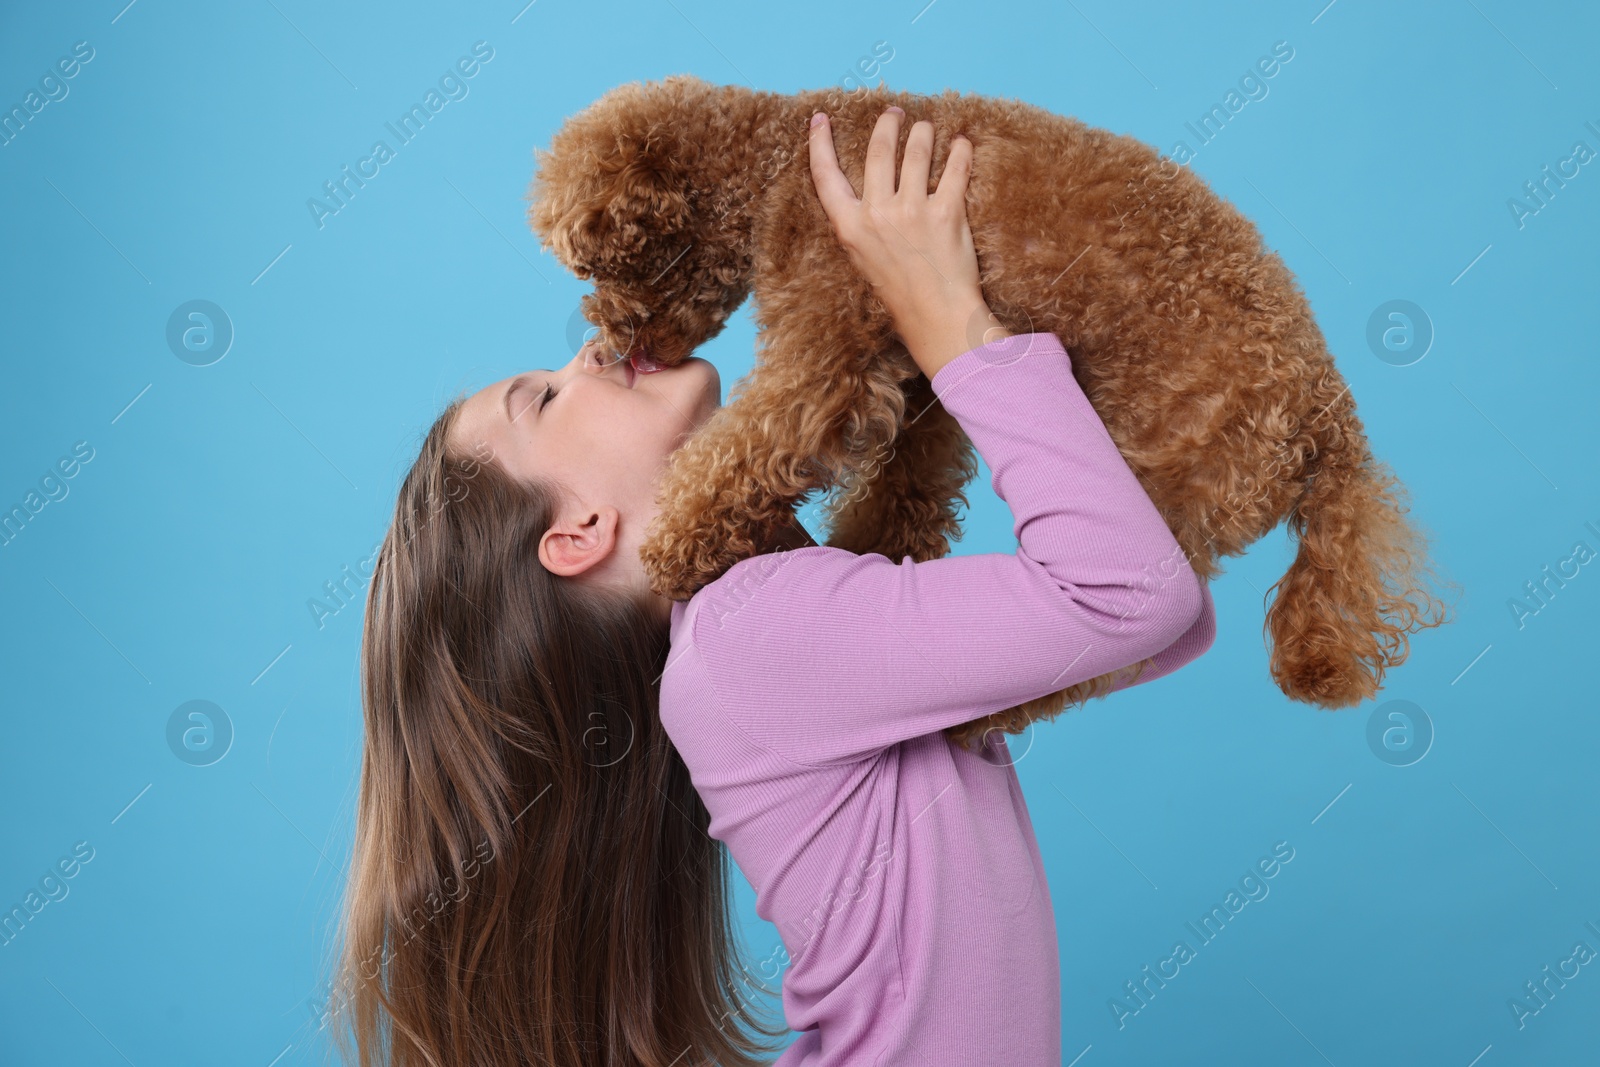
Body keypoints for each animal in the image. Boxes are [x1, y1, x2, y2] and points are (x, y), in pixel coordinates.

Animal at [531, 73, 1459, 751]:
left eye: (609, 268)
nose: (611, 348)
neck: (777, 154)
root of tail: (1330, 420)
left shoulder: (830, 337)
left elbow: (761, 435)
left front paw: (680, 545)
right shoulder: (919, 373)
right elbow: (910, 472)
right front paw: (873, 551)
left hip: (1170, 475)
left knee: (1107, 642)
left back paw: (979, 715)